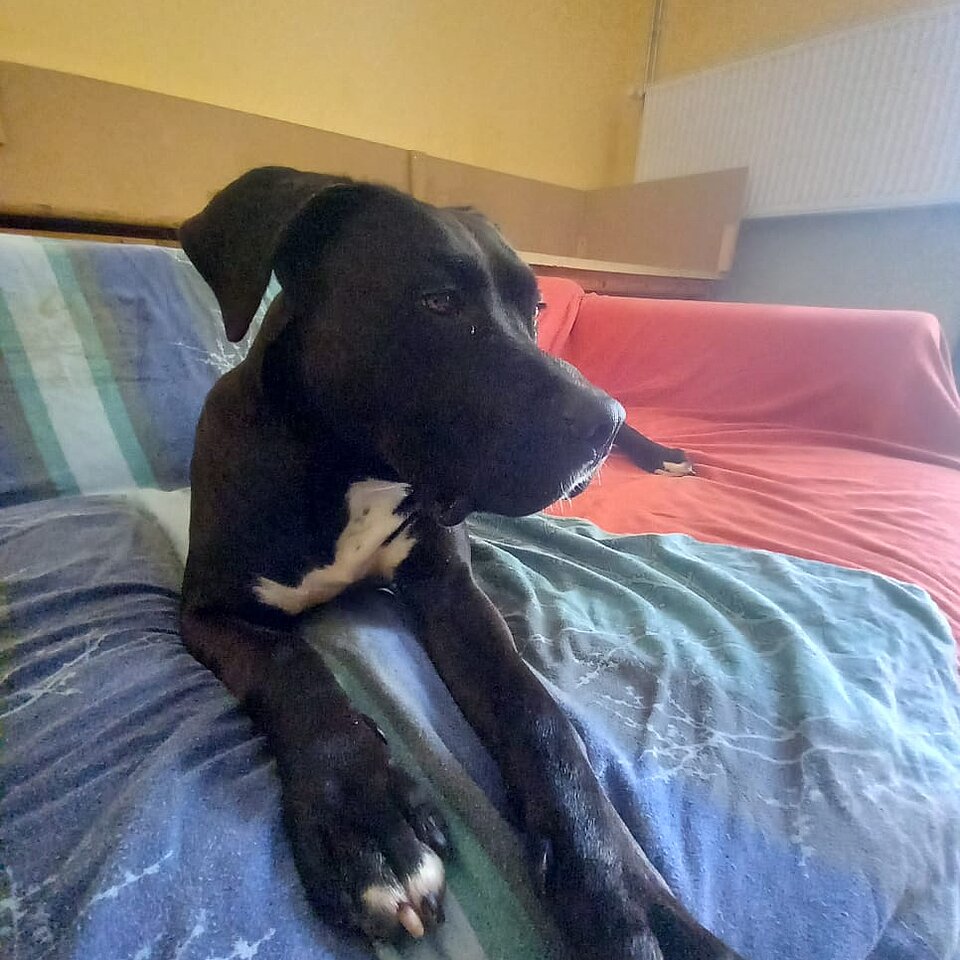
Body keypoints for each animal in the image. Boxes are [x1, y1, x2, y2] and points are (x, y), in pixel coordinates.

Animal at [178, 167, 740, 960]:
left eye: (535, 309)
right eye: (439, 302)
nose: (602, 424)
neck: (353, 471)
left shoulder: (451, 592)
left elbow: (536, 712)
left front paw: (612, 881)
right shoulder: (209, 611)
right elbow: (291, 666)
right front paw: (364, 821)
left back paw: (660, 452)